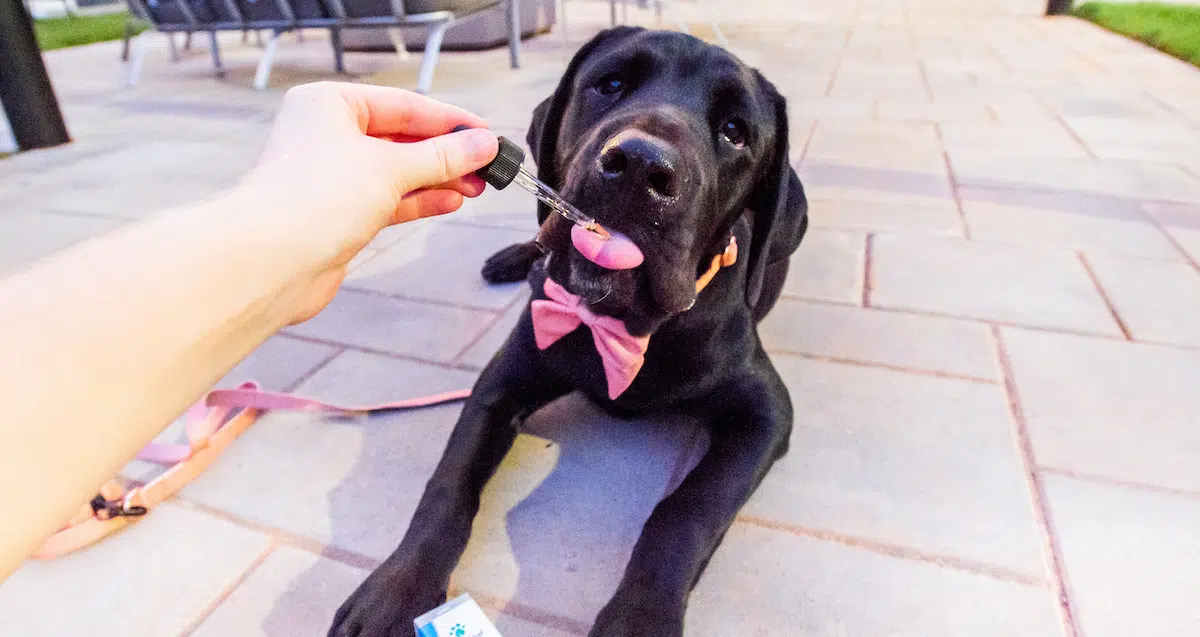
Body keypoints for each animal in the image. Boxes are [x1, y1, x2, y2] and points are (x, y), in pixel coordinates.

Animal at [330, 26, 808, 637]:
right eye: (611, 84)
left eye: (735, 131)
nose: (639, 167)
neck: (624, 325)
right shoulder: (503, 381)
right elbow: (448, 485)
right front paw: (397, 587)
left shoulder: (766, 413)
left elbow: (686, 512)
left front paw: (639, 618)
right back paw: (513, 258)